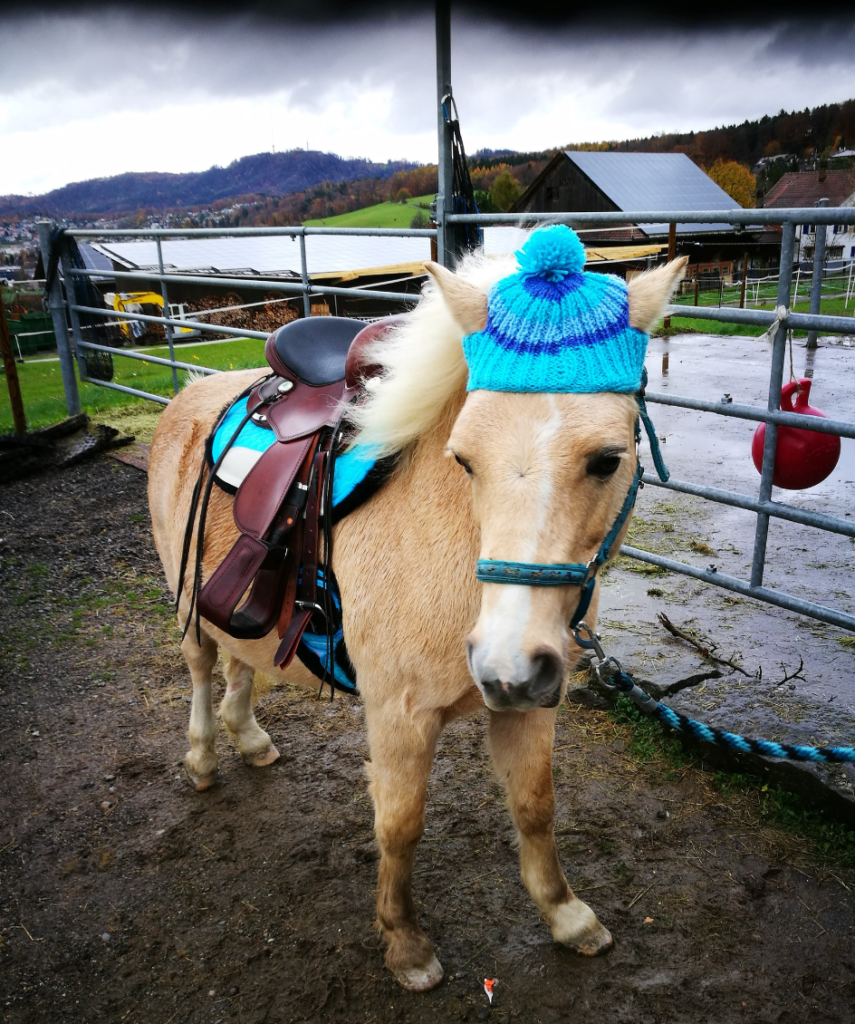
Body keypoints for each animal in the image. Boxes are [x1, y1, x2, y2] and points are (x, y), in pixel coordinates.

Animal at [147, 241, 688, 991]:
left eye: (608, 460)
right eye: (463, 458)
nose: (504, 663)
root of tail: (193, 395)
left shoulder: (530, 703)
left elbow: (536, 807)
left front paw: (566, 916)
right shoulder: (399, 715)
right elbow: (399, 826)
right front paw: (405, 944)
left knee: (241, 666)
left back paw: (248, 738)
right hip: (187, 607)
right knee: (201, 670)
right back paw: (202, 755)